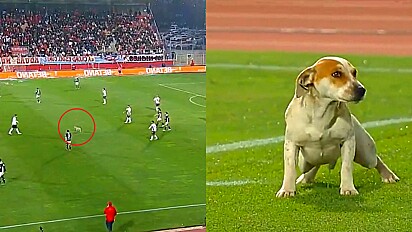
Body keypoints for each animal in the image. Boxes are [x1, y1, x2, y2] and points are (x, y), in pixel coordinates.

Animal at [276, 56, 400, 198]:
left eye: (354, 73)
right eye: (336, 74)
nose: (361, 89)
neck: (321, 114)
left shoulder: (348, 141)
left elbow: (346, 167)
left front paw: (348, 188)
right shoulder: (291, 144)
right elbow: (290, 168)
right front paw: (287, 190)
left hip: (366, 154)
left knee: (376, 160)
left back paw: (388, 176)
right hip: (305, 161)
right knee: (312, 166)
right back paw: (305, 178)